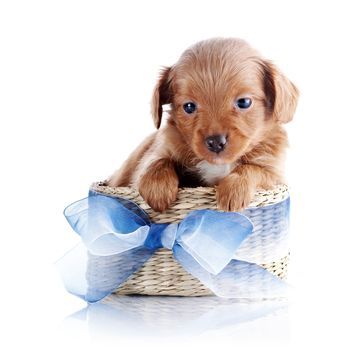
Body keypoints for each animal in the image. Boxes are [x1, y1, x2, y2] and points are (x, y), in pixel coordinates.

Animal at [107, 39, 298, 212]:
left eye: (244, 102)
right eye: (189, 106)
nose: (215, 142)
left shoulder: (275, 175)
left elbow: (252, 169)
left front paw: (234, 190)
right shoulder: (158, 151)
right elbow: (156, 161)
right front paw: (158, 189)